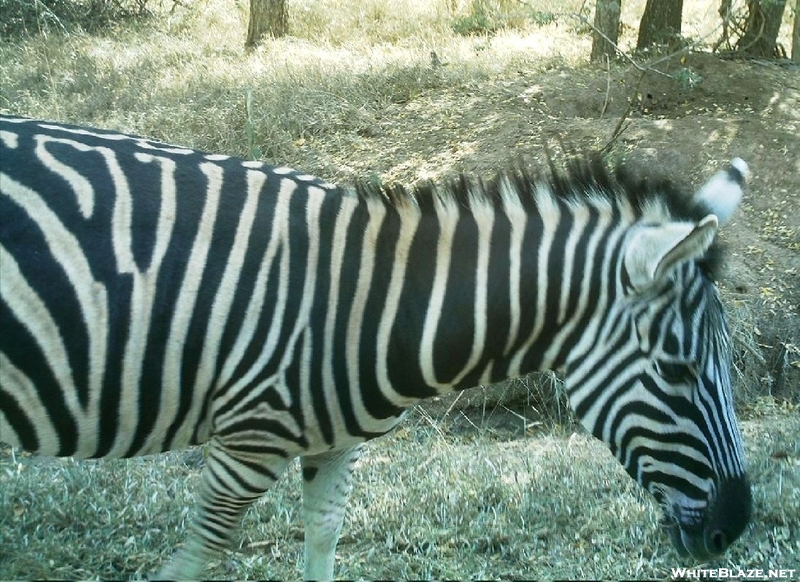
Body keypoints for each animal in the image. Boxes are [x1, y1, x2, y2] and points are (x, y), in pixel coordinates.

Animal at [1, 114, 752, 580]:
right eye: (680, 370)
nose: (735, 527)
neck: (368, 306)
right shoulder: (247, 442)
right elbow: (199, 555)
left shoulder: (333, 446)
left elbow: (322, 544)